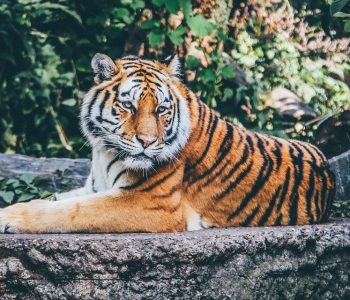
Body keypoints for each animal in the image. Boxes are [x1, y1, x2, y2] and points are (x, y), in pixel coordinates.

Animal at [0, 54, 334, 234]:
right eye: (129, 106)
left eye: (161, 109)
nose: (147, 142)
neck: (105, 151)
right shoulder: (94, 187)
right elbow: (56, 200)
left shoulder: (150, 202)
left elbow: (69, 211)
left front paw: (9, 218)